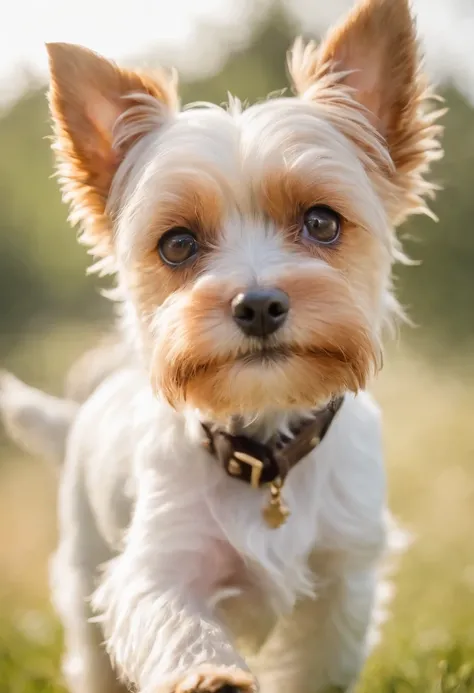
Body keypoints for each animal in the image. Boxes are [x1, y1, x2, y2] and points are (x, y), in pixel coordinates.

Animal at [0, 0, 444, 688]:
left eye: (322, 222)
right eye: (178, 243)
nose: (257, 304)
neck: (263, 452)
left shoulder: (342, 582)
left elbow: (319, 663)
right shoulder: (158, 566)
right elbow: (177, 622)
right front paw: (212, 674)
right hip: (82, 571)